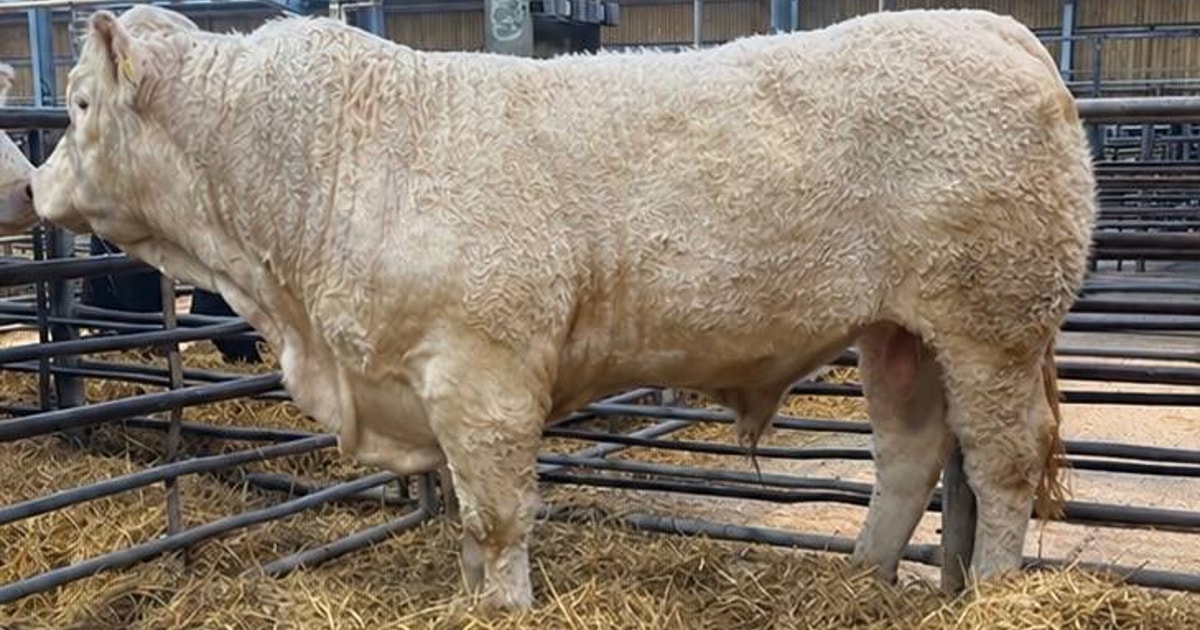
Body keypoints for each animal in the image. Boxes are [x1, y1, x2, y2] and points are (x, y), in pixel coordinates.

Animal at [30, 5, 1096, 612]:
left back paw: (992, 588)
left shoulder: (486, 375)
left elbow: (500, 515)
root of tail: (997, 30)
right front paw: (468, 597)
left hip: (992, 322)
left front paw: (503, 604)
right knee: (909, 455)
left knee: (1001, 460)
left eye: (77, 106)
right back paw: (857, 582)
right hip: (897, 331)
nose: (34, 187)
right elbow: (467, 518)